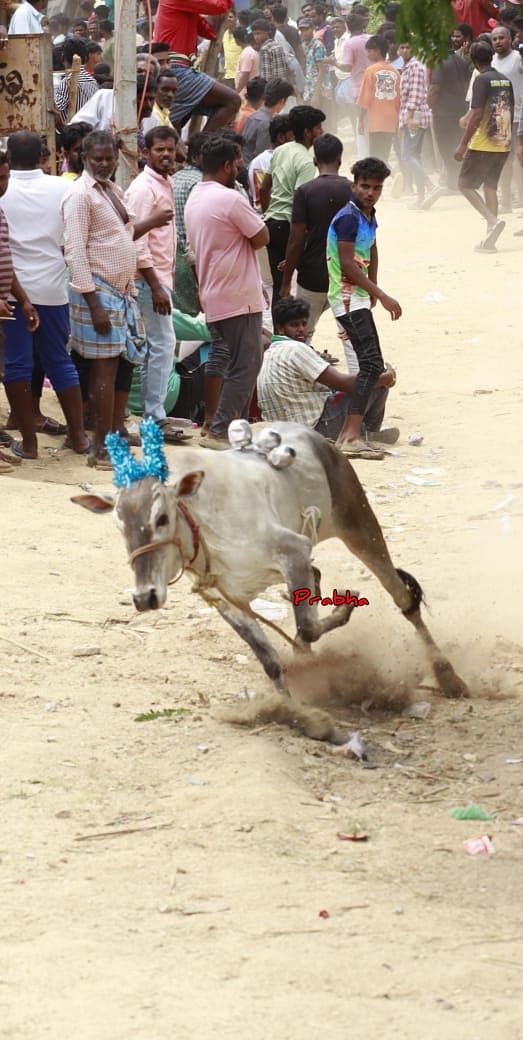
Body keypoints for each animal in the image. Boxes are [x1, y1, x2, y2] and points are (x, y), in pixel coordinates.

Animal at [71, 418, 467, 719]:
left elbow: (308, 627)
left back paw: (450, 678)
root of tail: (317, 438)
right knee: (317, 579)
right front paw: (293, 709)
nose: (145, 597)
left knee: (403, 598)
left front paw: (342, 612)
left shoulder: (293, 550)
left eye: (161, 518)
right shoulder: (225, 598)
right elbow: (271, 659)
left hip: (360, 527)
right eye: (119, 525)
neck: (202, 523)